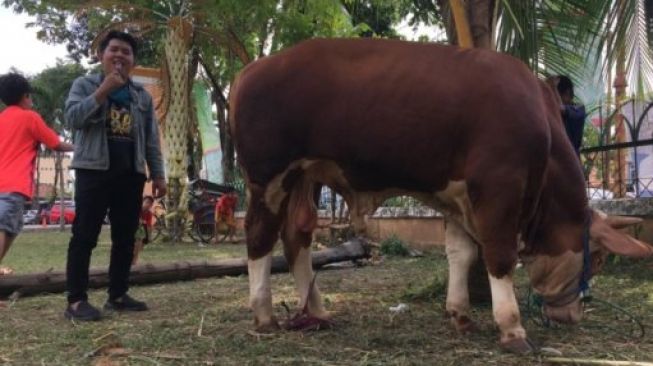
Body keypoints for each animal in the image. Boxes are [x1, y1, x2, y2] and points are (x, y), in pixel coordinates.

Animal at [229, 37, 652, 352]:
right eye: (598, 260)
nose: (575, 315)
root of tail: (252, 69)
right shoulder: (498, 188)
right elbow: (499, 256)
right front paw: (512, 328)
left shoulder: (458, 196)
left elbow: (461, 253)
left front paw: (460, 313)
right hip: (269, 177)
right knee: (259, 236)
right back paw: (264, 314)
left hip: (306, 176)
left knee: (296, 236)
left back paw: (315, 311)